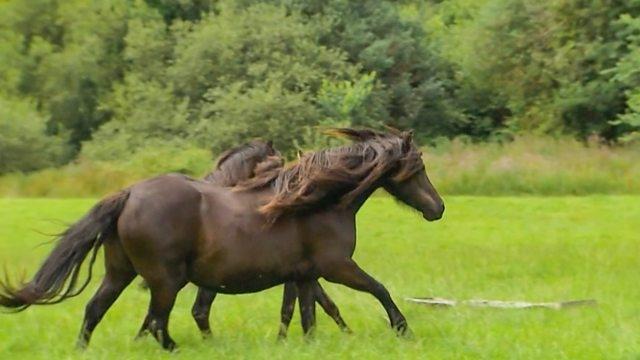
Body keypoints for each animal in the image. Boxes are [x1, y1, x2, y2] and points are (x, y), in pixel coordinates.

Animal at [0, 128, 442, 350]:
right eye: (418, 168)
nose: (438, 209)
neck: (319, 202)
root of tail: (129, 194)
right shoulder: (336, 267)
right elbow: (378, 290)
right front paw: (403, 330)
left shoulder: (303, 275)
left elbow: (306, 315)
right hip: (167, 280)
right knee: (157, 322)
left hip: (120, 273)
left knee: (95, 310)